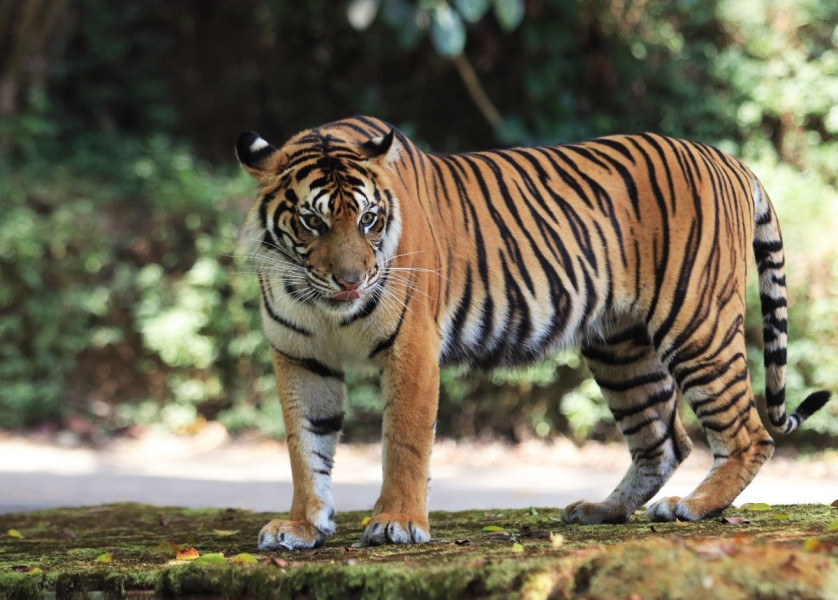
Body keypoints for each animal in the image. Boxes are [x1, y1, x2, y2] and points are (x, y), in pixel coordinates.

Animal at [236, 115, 832, 552]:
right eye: (312, 222)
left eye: (369, 220)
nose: (352, 281)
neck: (324, 307)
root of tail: (728, 159)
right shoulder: (300, 356)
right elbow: (305, 446)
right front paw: (301, 526)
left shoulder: (412, 347)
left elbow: (404, 440)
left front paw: (397, 523)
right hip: (620, 348)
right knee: (662, 440)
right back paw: (602, 510)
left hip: (697, 325)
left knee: (748, 432)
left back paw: (692, 507)